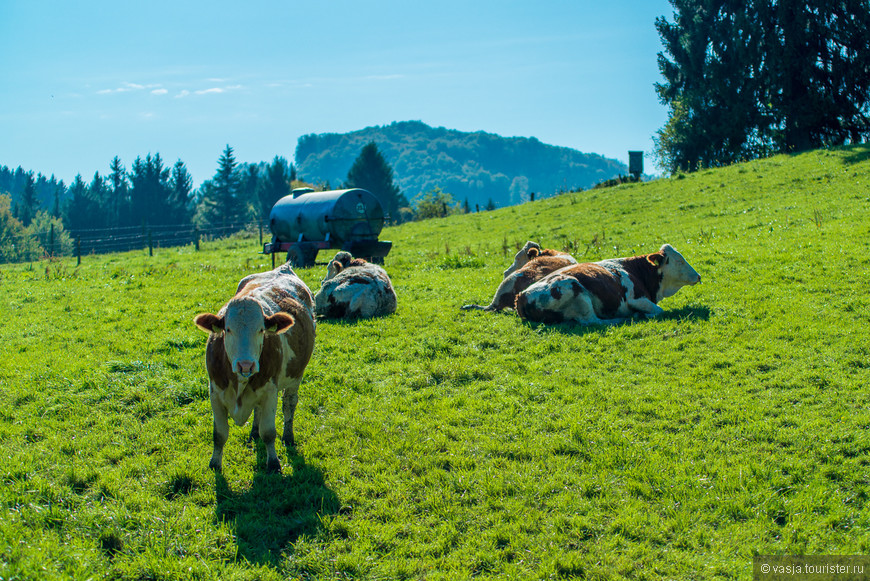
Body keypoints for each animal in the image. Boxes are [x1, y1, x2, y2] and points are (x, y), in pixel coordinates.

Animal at [192, 262, 316, 472]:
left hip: (296, 376)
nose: (246, 364)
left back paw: (288, 436)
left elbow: (269, 433)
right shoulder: (214, 392)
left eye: (261, 330)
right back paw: (254, 432)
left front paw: (273, 463)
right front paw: (215, 464)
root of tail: (283, 268)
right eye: (228, 329)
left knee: (289, 404)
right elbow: (219, 434)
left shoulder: (270, 392)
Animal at [516, 242, 700, 324]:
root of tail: (522, 296)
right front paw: (641, 314)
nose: (698, 276)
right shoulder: (636, 299)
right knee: (592, 321)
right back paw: (626, 318)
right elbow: (659, 311)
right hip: (575, 291)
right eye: (679, 261)